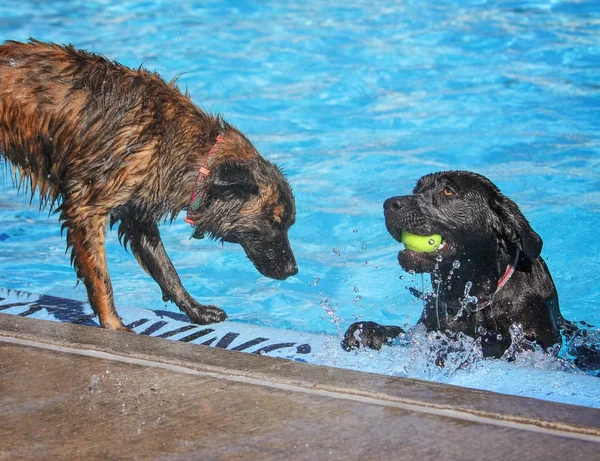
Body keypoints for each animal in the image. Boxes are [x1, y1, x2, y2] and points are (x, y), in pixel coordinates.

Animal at [0, 37, 298, 328]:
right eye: (274, 222)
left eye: (288, 224)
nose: (294, 269)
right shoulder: (87, 209)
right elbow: (101, 279)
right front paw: (114, 326)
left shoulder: (138, 214)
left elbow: (167, 271)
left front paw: (197, 311)